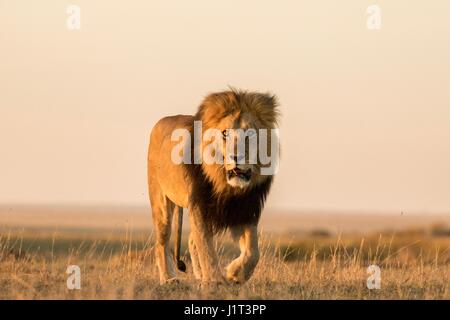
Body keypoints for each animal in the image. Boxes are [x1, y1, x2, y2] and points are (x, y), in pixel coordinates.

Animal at [148, 88, 280, 284]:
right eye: (225, 133)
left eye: (250, 134)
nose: (236, 157)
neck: (227, 186)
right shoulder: (199, 206)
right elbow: (206, 248)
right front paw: (215, 280)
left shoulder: (247, 209)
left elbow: (253, 252)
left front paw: (235, 274)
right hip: (161, 201)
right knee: (162, 241)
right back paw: (169, 278)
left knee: (191, 241)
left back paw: (198, 275)